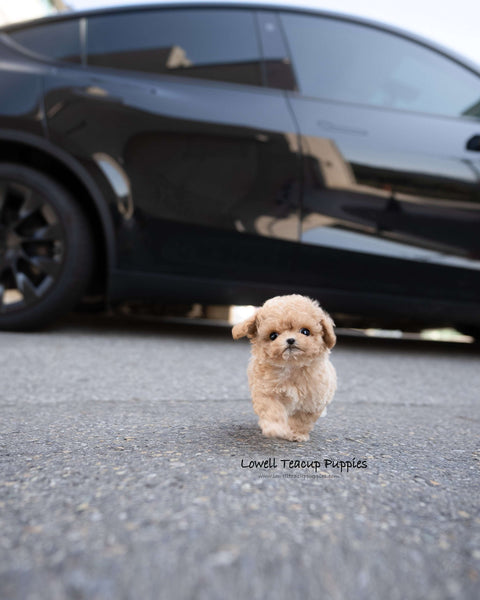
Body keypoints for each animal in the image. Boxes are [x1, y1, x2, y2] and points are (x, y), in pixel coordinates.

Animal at [232, 294, 338, 440]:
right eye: (273, 335)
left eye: (305, 331)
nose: (290, 340)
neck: (291, 365)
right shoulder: (266, 392)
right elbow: (272, 410)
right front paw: (275, 428)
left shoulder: (311, 401)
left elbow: (301, 419)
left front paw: (296, 433)